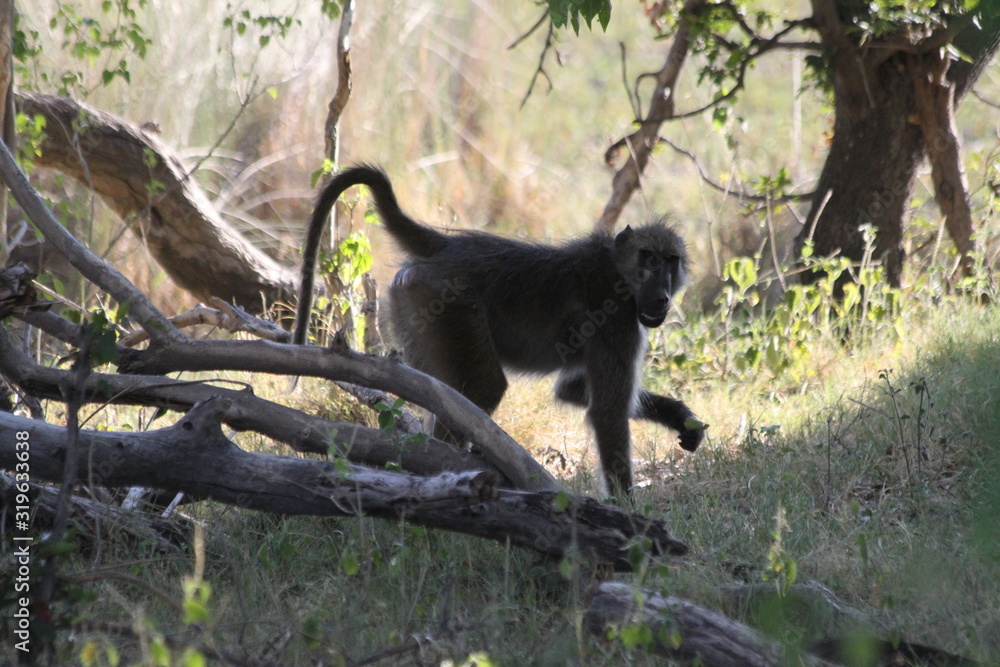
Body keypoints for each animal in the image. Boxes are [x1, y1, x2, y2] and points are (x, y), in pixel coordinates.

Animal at [294, 165, 705, 495]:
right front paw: (628, 514)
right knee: (481, 389)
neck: (617, 271)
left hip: (413, 306)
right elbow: (608, 411)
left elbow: (573, 391)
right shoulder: (617, 321)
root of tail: (450, 246)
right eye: (648, 259)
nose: (661, 297)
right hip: (445, 304)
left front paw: (680, 417)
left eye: (670, 261)